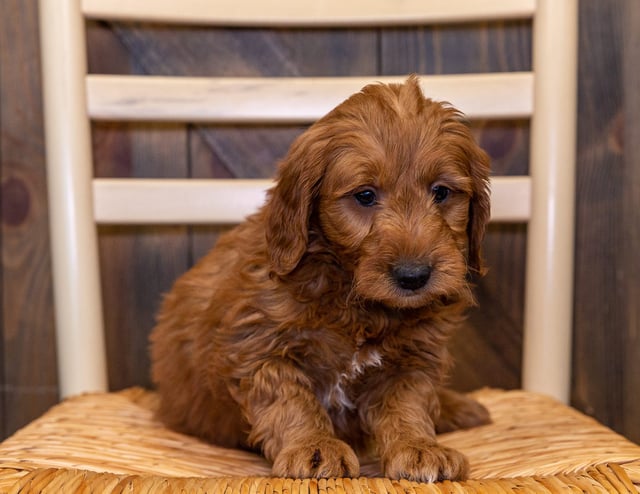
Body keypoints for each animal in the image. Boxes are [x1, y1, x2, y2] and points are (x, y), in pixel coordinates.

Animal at [150, 77, 490, 482]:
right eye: (365, 195)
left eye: (441, 192)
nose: (414, 276)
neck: (352, 297)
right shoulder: (256, 347)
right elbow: (291, 399)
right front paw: (313, 447)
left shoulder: (413, 358)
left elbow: (409, 404)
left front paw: (419, 447)